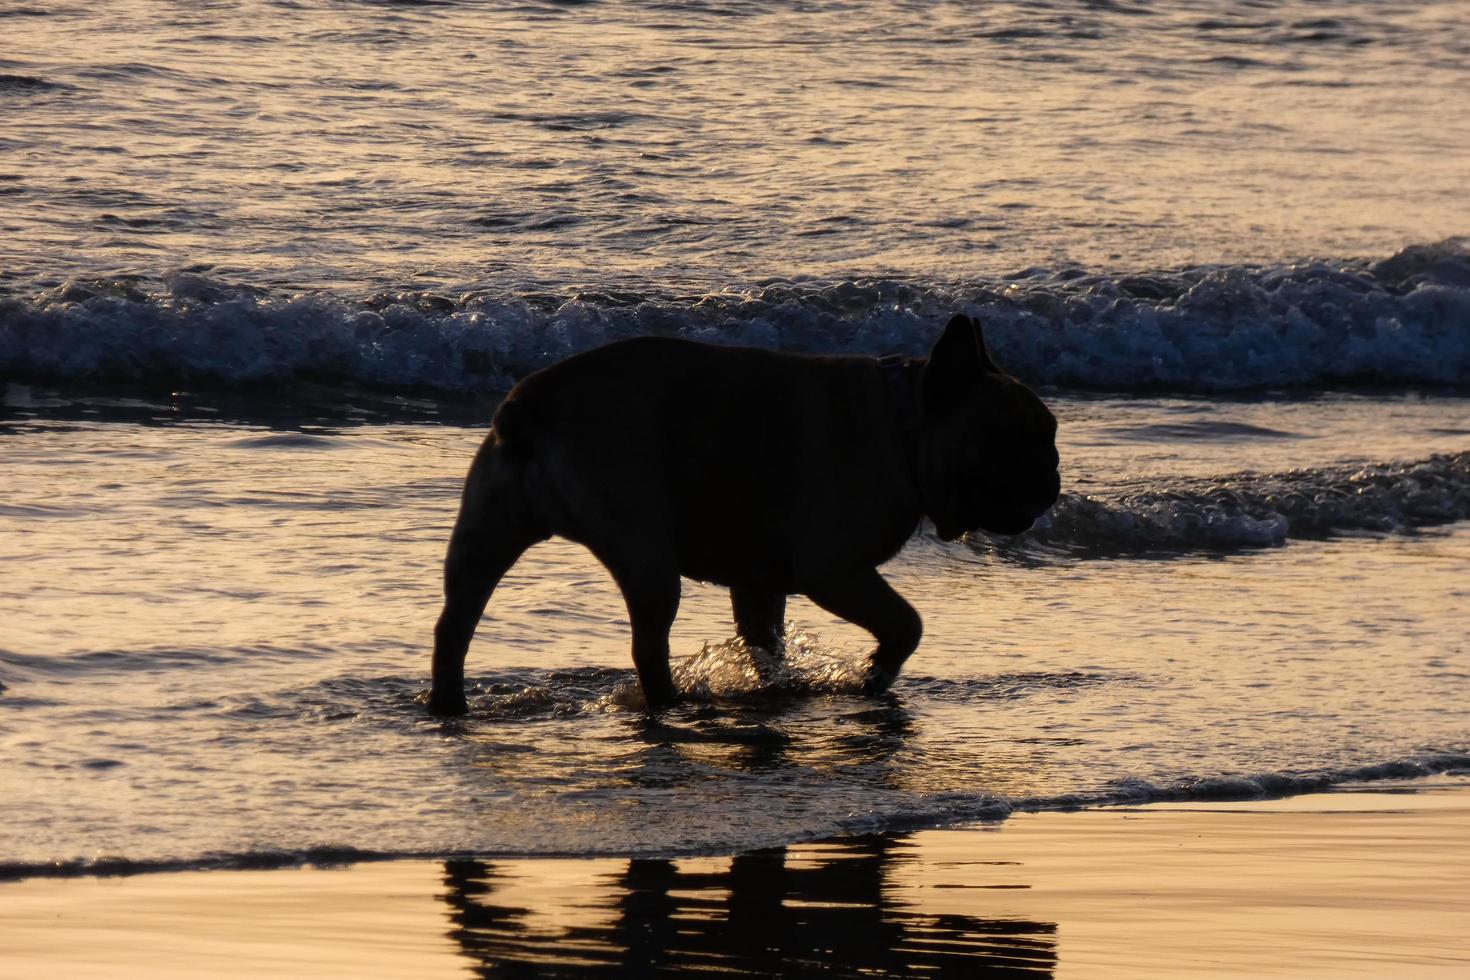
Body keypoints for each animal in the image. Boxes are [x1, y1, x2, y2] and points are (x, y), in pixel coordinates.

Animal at [429, 318, 1064, 717]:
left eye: (1049, 433)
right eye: (1012, 438)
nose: (1053, 472)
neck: (905, 423)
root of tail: (531, 408)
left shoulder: (760, 582)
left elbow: (766, 643)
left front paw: (777, 688)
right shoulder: (836, 572)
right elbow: (907, 623)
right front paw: (873, 673)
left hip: (484, 536)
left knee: (454, 627)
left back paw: (449, 706)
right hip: (646, 555)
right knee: (648, 646)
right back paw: (670, 703)